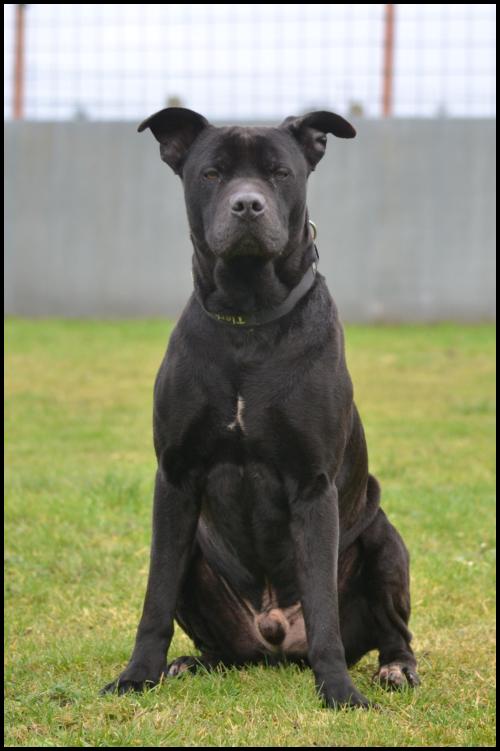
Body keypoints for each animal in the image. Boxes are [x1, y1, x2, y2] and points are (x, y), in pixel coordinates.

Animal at [101, 108, 419, 707]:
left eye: (279, 173)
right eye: (211, 174)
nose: (247, 205)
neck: (248, 319)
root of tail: (273, 637)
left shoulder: (313, 486)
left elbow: (322, 607)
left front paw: (338, 690)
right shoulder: (175, 479)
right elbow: (155, 597)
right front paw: (137, 675)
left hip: (384, 541)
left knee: (395, 631)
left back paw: (395, 669)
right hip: (201, 563)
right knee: (217, 645)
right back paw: (188, 664)